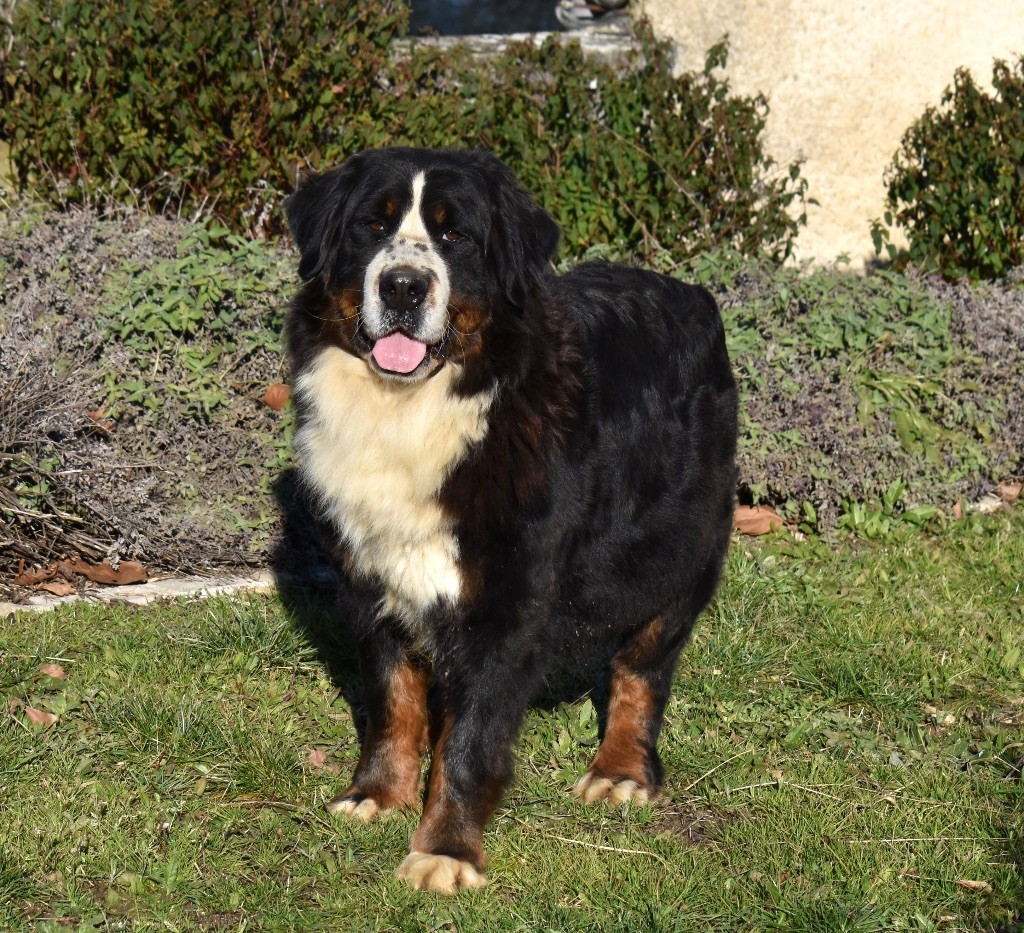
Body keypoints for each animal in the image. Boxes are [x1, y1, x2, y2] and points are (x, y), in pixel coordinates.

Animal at [284, 149, 741, 893]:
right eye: (371, 226)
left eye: (455, 235)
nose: (403, 286)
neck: (417, 410)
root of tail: (692, 293)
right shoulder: (371, 582)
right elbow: (393, 700)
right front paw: (379, 792)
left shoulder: (506, 601)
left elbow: (470, 739)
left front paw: (446, 848)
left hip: (677, 550)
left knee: (644, 665)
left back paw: (621, 768)